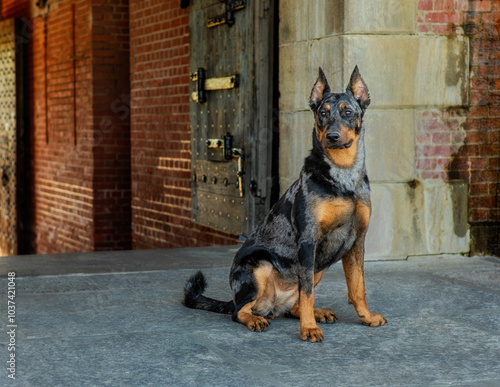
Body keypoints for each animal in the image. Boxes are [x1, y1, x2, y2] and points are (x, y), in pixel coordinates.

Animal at [184, 66, 386, 342]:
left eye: (348, 112)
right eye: (323, 113)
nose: (332, 136)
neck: (343, 173)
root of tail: (272, 306)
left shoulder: (356, 242)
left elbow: (357, 287)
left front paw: (367, 317)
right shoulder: (308, 241)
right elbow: (308, 293)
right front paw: (309, 329)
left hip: (316, 267)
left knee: (294, 305)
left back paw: (315, 313)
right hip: (259, 266)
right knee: (239, 310)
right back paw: (256, 319)